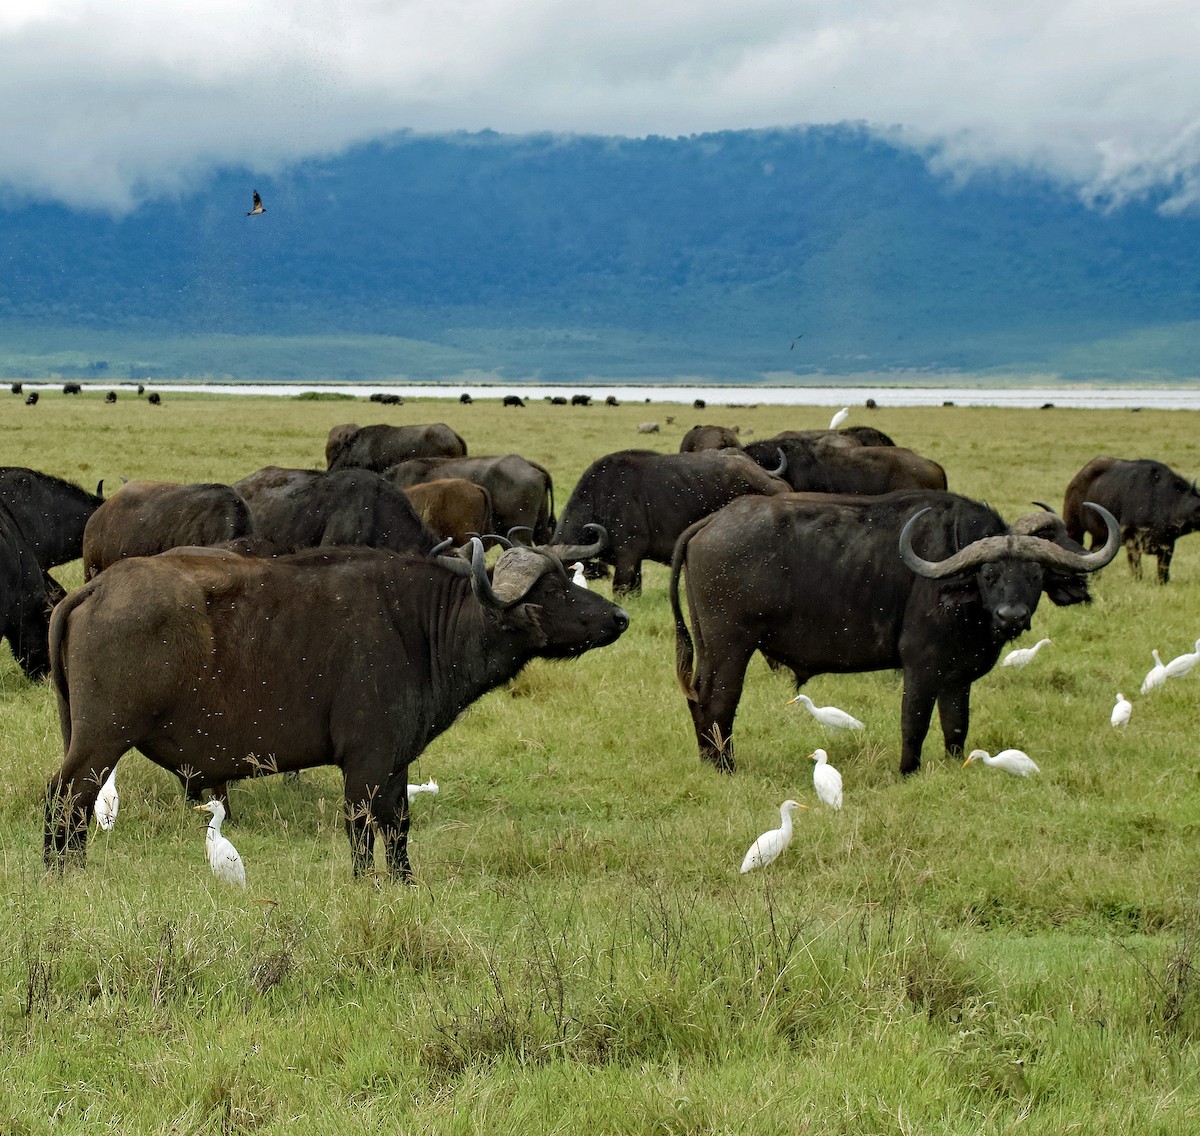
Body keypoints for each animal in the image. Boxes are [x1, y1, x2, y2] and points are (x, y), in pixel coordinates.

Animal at [44, 540, 630, 879]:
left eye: (569, 578)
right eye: (552, 589)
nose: (619, 617)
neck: (418, 627)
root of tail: (93, 589)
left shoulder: (396, 763)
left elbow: (398, 826)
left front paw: (404, 883)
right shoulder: (364, 764)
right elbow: (361, 829)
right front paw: (363, 884)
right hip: (101, 740)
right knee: (64, 799)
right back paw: (61, 876)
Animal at [547, 449, 792, 595]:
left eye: (562, 571)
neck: (604, 497)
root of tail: (773, 481)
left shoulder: (627, 557)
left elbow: (620, 589)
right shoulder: (635, 561)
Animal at [670, 490, 1118, 775]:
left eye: (1034, 575)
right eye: (989, 574)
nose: (1012, 616)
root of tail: (710, 521)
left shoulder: (958, 676)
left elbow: (956, 726)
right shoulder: (921, 668)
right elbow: (914, 721)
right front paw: (908, 771)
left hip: (709, 647)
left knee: (698, 698)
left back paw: (709, 761)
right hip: (732, 647)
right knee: (720, 702)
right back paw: (726, 767)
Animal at [1063, 456, 1200, 583]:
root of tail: (1076, 480)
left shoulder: (1168, 546)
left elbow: (1163, 572)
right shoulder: (1132, 543)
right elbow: (1137, 569)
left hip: (1101, 536)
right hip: (1073, 527)